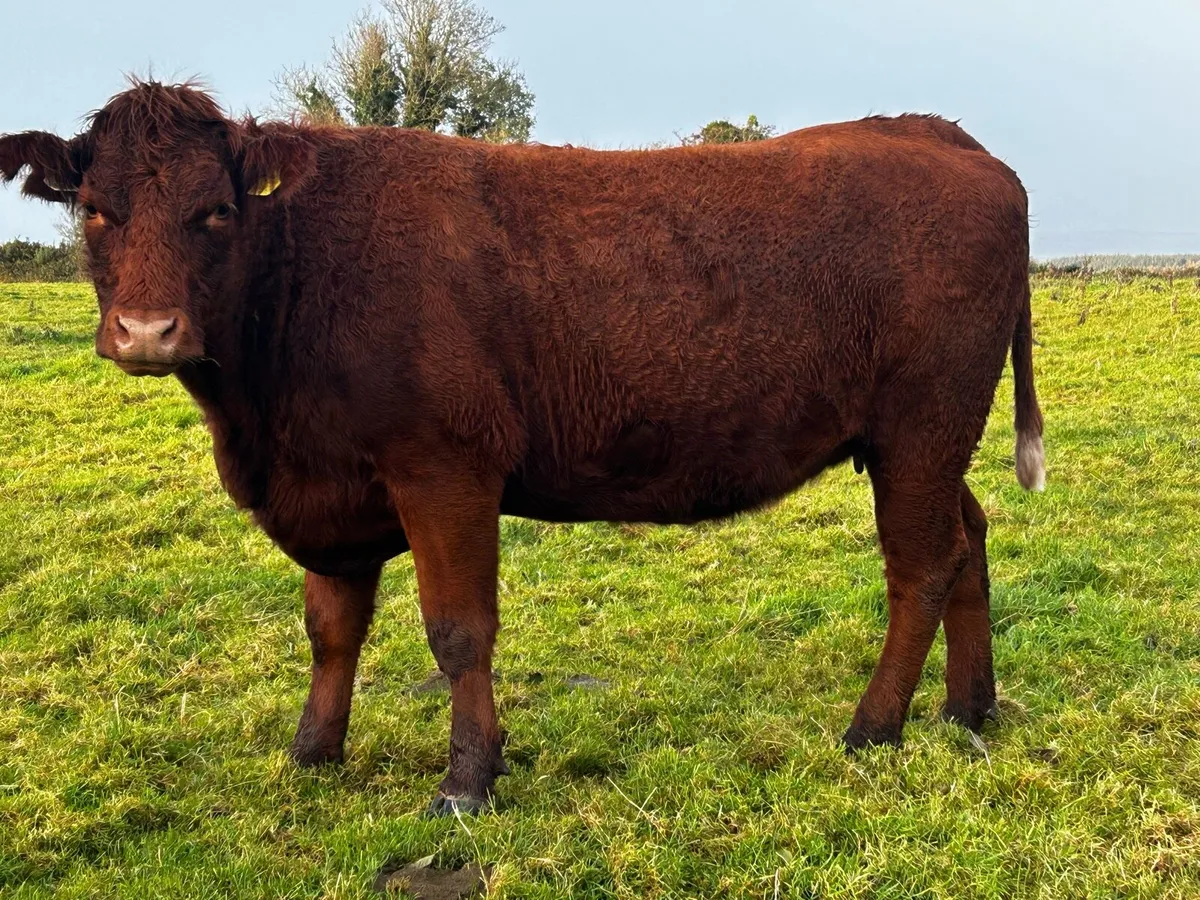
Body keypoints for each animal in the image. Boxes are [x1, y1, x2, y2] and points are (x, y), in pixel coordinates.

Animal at [0, 81, 1044, 816]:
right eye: (96, 210)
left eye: (215, 211)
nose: (147, 332)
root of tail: (939, 133)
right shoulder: (334, 486)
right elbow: (331, 628)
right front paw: (312, 753)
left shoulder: (445, 468)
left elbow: (458, 630)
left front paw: (467, 780)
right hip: (927, 443)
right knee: (969, 543)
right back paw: (968, 709)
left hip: (922, 427)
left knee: (921, 567)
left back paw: (873, 728)